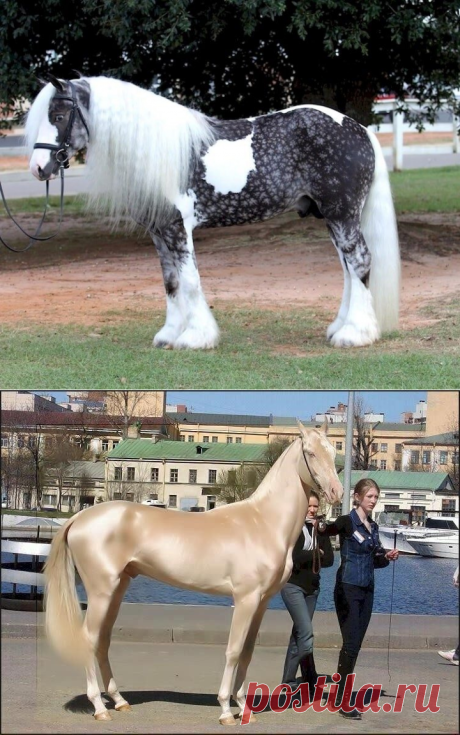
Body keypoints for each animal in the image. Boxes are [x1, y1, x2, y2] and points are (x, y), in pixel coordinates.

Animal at [26, 74, 400, 350]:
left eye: (58, 116)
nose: (38, 168)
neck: (162, 152)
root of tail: (359, 129)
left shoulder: (178, 228)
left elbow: (190, 280)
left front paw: (195, 337)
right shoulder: (159, 232)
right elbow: (171, 281)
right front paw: (169, 334)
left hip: (342, 214)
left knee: (359, 262)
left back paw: (355, 334)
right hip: (332, 217)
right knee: (348, 269)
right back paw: (341, 327)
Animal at [43, 420, 343, 725]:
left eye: (332, 452)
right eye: (311, 453)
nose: (337, 492)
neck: (263, 522)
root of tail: (80, 517)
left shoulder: (261, 602)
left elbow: (247, 652)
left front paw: (243, 707)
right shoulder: (245, 599)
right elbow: (233, 651)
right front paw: (226, 710)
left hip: (117, 589)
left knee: (103, 640)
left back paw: (119, 701)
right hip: (101, 591)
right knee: (89, 639)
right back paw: (100, 707)